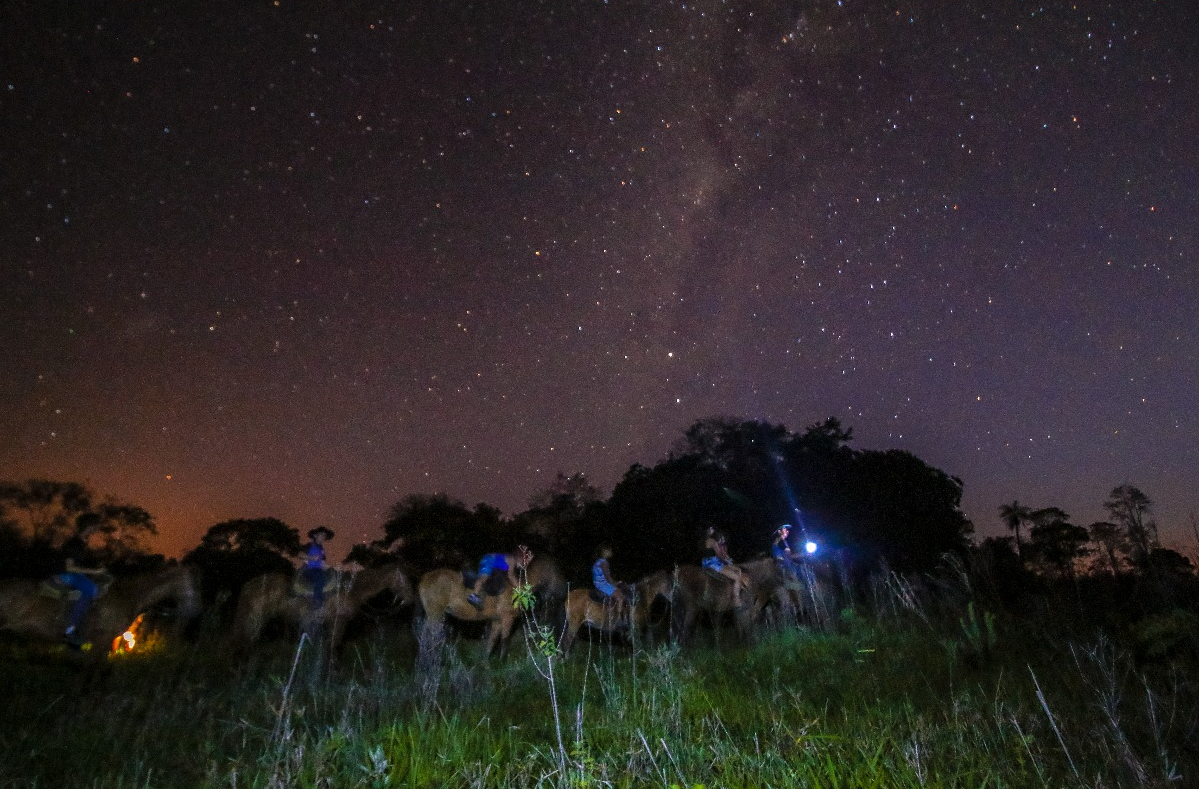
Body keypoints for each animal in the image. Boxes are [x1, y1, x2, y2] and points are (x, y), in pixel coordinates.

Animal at [231, 558, 414, 652]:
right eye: (405, 578)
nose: (411, 599)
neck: (352, 590)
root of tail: (248, 585)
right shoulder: (338, 622)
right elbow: (333, 649)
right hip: (254, 620)